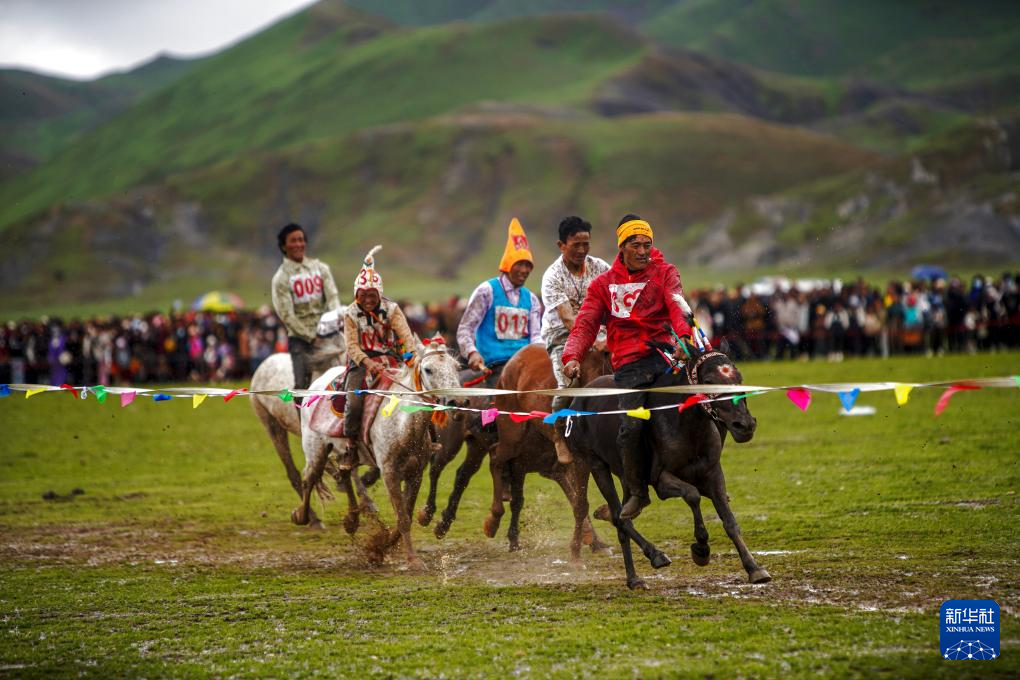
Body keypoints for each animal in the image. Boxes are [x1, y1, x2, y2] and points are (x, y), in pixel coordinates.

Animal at [289, 340, 461, 570]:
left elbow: (405, 514)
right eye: (428, 369)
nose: (456, 402)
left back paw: (351, 520)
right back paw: (300, 515)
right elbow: (403, 517)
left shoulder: (415, 474)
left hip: (345, 453)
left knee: (345, 475)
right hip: (316, 449)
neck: (403, 424)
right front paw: (412, 559)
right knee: (309, 478)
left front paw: (383, 546)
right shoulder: (389, 472)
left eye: (456, 367)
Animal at [477, 342, 612, 562]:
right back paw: (493, 521)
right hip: (512, 434)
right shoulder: (576, 460)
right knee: (495, 455)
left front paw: (594, 539)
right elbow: (580, 503)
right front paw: (580, 546)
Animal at [571, 346, 767, 591]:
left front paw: (754, 568)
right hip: (596, 465)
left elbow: (730, 522)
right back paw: (652, 559)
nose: (745, 425)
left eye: (739, 379)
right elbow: (692, 495)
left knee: (626, 511)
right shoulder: (661, 480)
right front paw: (701, 549)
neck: (686, 425)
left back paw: (634, 574)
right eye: (708, 381)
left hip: (627, 477)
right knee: (619, 517)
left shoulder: (713, 475)